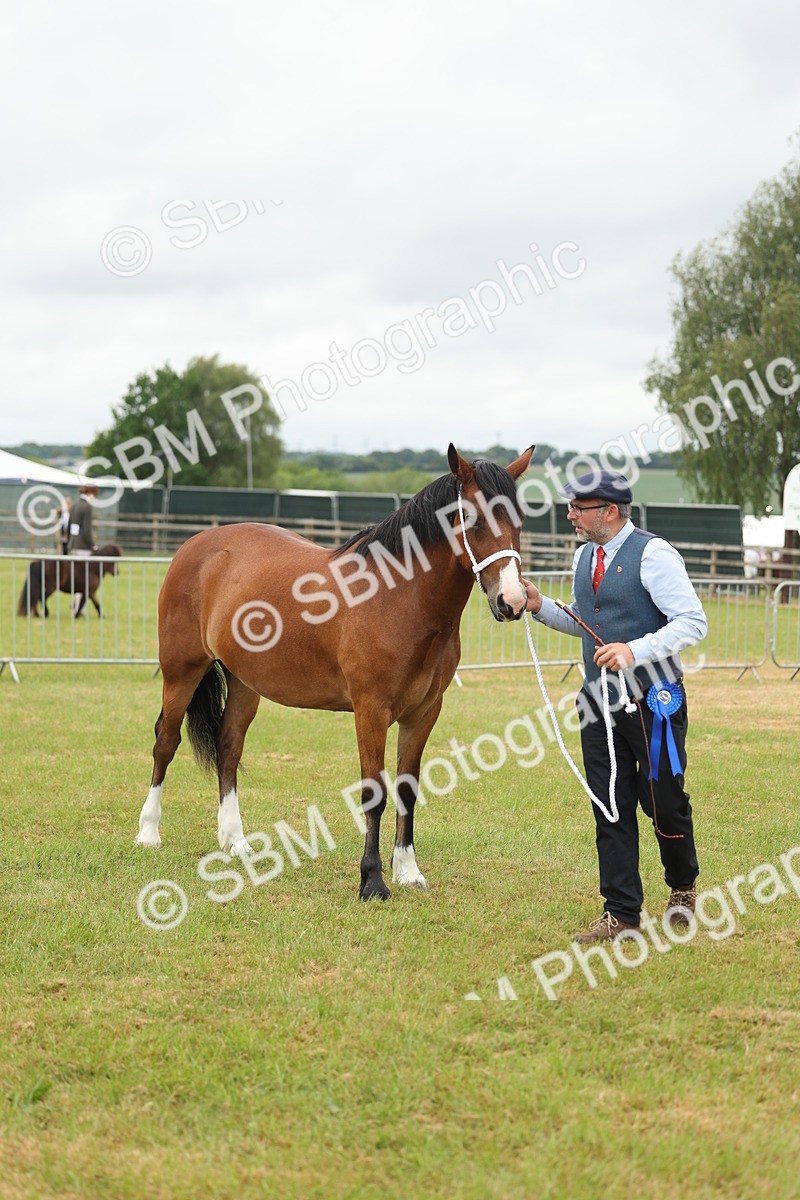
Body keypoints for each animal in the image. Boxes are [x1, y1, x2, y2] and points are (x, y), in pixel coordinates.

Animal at [135, 445, 533, 899]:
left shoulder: (423, 713)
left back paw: (235, 841)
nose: (512, 601)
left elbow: (407, 790)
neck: (399, 599)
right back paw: (148, 832)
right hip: (181, 670)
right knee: (166, 741)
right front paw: (372, 881)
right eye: (470, 516)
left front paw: (408, 871)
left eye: (519, 520)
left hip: (244, 682)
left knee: (229, 746)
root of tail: (197, 544)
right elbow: (375, 793)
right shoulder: (371, 711)